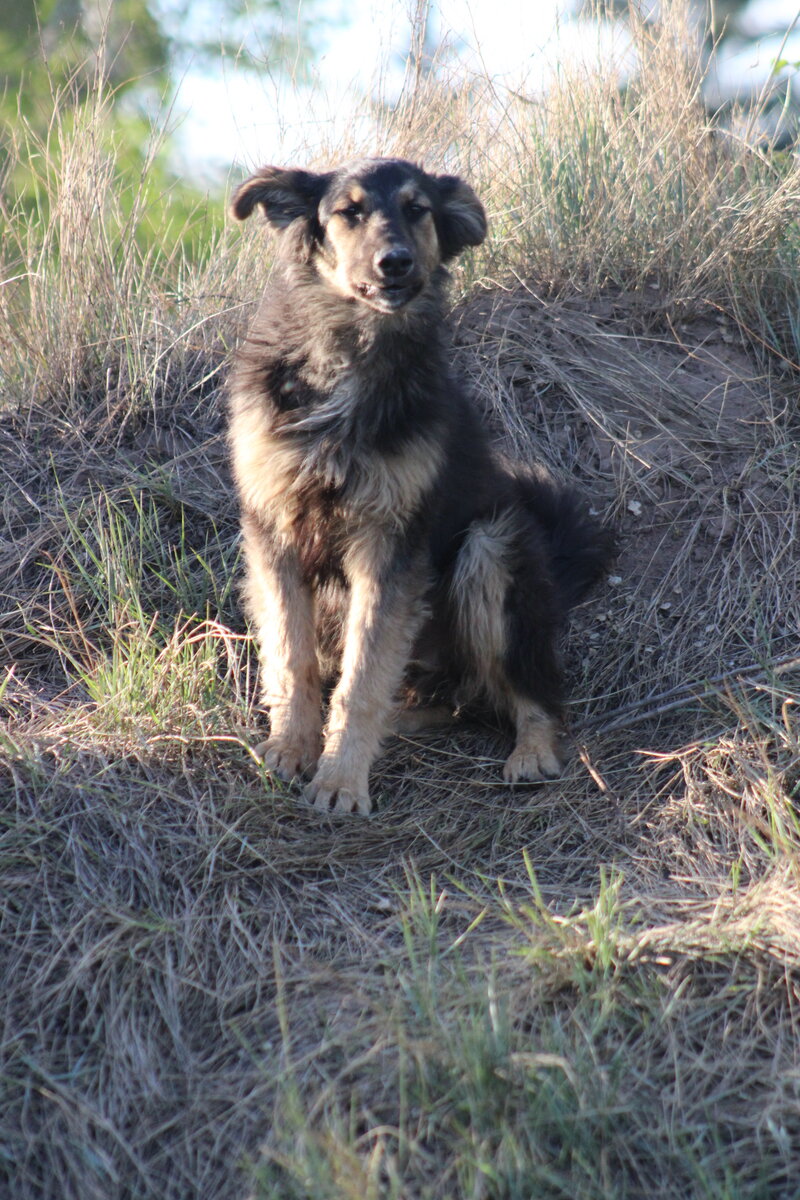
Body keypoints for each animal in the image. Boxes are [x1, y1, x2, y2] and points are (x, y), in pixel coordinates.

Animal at [227, 154, 618, 816]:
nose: (396, 262)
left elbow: (361, 678)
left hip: (491, 551)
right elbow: (291, 655)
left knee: (532, 694)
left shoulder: (390, 543)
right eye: (349, 212)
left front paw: (340, 781)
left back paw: (532, 752)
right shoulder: (273, 531)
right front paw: (292, 748)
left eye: (417, 210)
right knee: (452, 700)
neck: (347, 358)